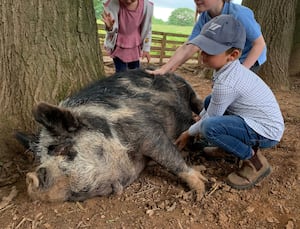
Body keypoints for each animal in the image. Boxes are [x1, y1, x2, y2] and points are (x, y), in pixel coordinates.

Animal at [16, 69, 206, 202]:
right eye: (40, 159)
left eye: (60, 147)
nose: (30, 178)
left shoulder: (145, 129)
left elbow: (169, 156)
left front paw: (202, 187)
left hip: (188, 89)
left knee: (200, 105)